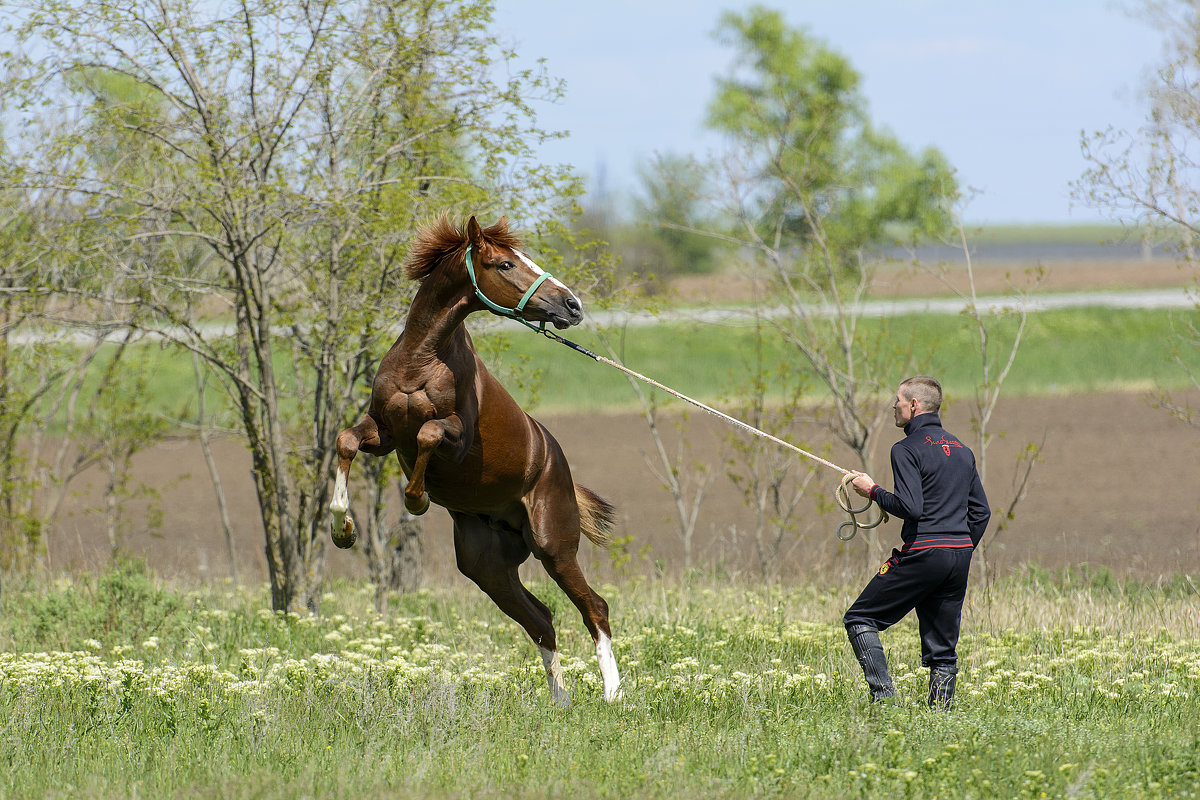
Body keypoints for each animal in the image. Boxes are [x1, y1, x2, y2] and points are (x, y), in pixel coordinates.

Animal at [333, 215, 624, 705]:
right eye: (505, 263)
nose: (572, 305)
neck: (420, 361)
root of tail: (558, 468)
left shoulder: (455, 438)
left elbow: (429, 433)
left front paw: (416, 499)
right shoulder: (384, 433)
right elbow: (345, 442)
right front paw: (343, 528)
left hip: (553, 546)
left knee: (593, 607)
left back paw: (612, 694)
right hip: (486, 566)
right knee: (541, 619)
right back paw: (561, 700)